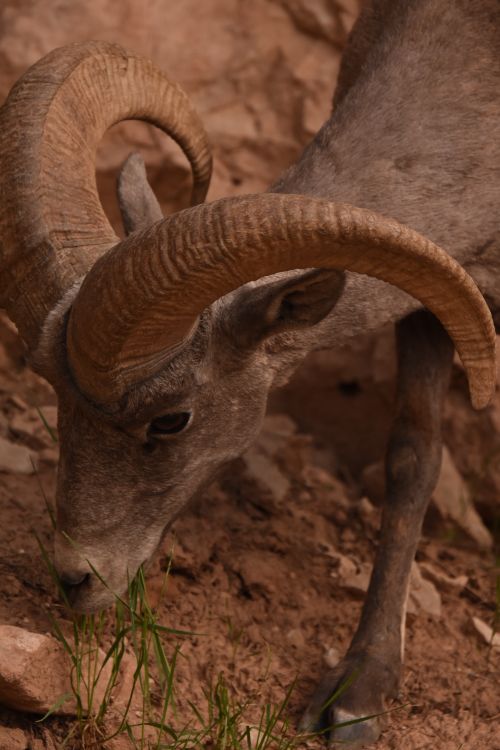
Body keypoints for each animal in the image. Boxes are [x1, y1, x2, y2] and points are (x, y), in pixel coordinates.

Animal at [0, 0, 498, 744]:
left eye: (171, 419)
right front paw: (360, 691)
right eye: (56, 395)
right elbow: (413, 460)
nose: (76, 580)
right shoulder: (435, 310)